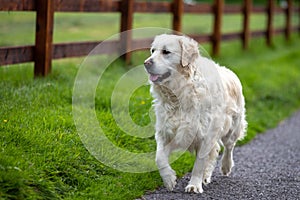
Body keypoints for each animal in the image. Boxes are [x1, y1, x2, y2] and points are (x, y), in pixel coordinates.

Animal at [144, 34, 247, 194]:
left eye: (166, 52)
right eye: (152, 51)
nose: (146, 63)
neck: (178, 95)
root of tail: (230, 72)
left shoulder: (204, 135)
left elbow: (198, 164)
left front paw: (194, 185)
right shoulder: (167, 133)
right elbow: (159, 158)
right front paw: (169, 179)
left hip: (232, 126)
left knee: (229, 146)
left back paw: (226, 166)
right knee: (216, 150)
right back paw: (206, 176)